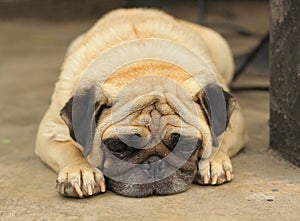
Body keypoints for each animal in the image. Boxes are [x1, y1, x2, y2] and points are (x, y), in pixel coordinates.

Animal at [35, 9, 248, 199]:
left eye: (186, 145)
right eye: (118, 145)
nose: (154, 164)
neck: (145, 66)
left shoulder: (235, 122)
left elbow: (219, 138)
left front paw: (213, 160)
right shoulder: (50, 131)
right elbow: (70, 149)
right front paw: (80, 172)